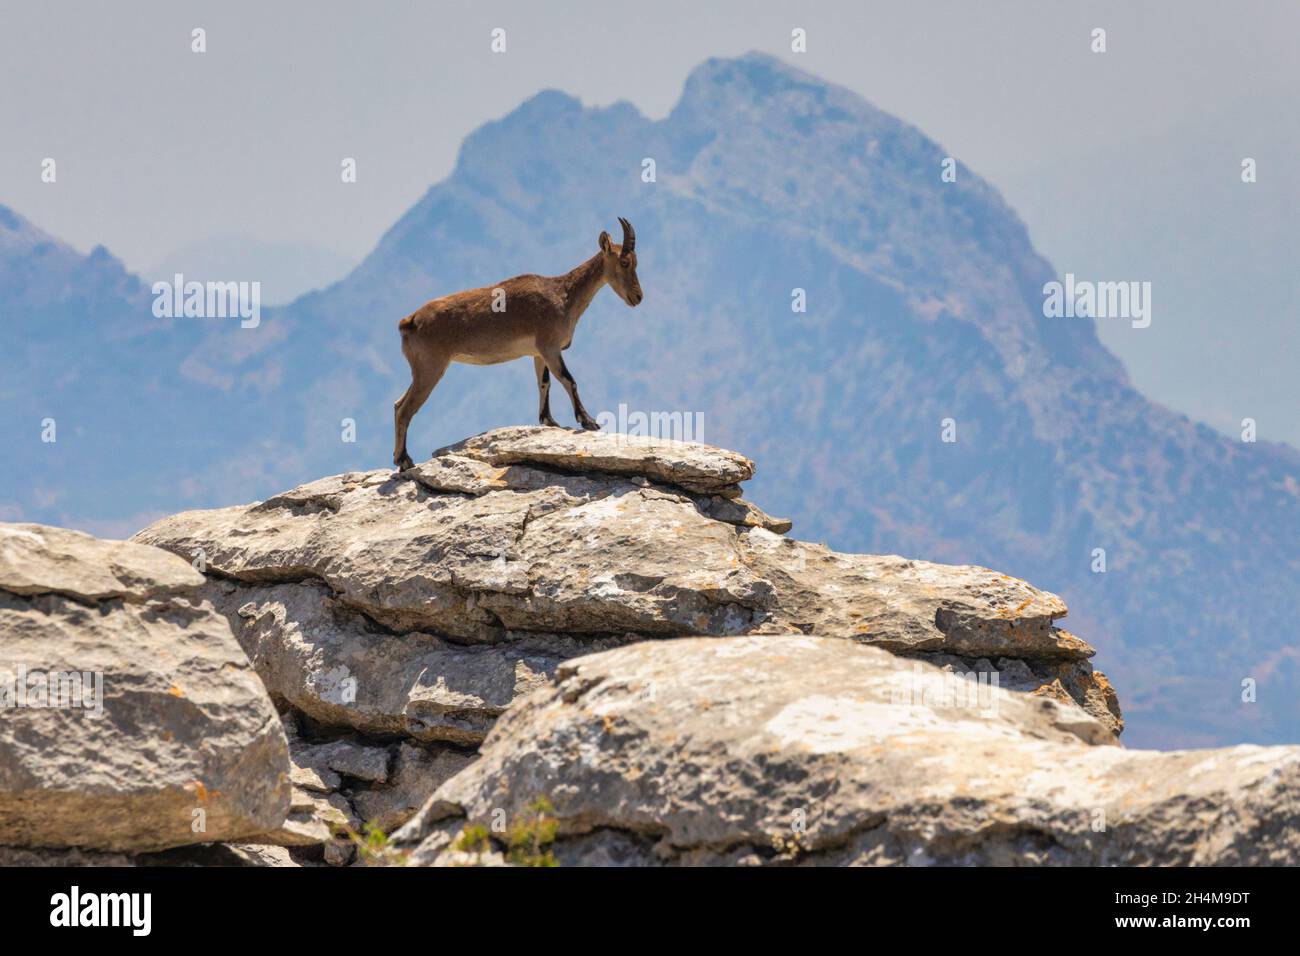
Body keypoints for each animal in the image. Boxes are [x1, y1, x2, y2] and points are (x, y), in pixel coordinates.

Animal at [392, 218, 643, 471]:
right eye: (624, 261)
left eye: (636, 261)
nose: (638, 297)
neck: (563, 293)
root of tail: (410, 321)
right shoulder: (550, 348)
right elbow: (568, 380)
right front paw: (588, 421)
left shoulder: (538, 353)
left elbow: (545, 383)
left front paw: (549, 420)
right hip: (431, 368)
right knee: (405, 410)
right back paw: (405, 461)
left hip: (421, 370)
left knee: (397, 404)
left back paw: (400, 458)